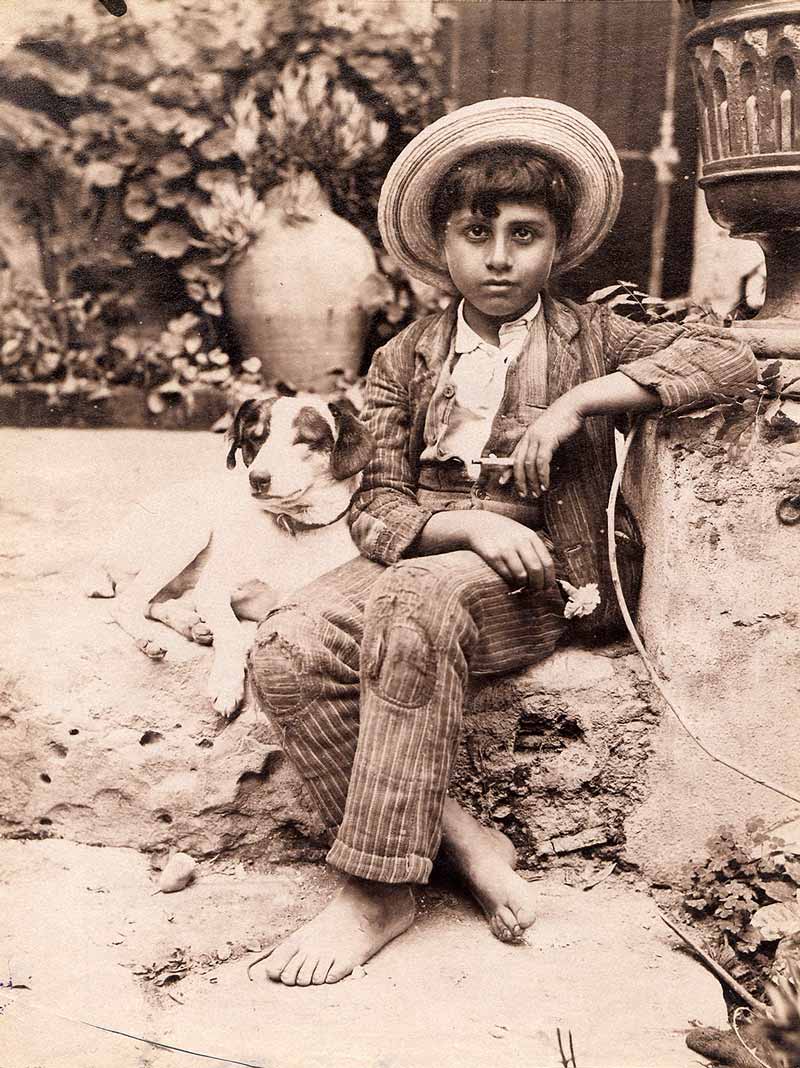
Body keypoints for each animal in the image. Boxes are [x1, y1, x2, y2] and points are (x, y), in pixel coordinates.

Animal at [85, 395, 373, 717]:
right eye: (255, 439)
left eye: (304, 440)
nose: (257, 478)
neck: (290, 528)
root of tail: (106, 551)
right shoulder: (213, 589)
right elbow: (233, 634)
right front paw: (226, 683)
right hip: (189, 531)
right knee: (126, 603)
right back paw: (152, 638)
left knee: (157, 602)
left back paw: (192, 625)